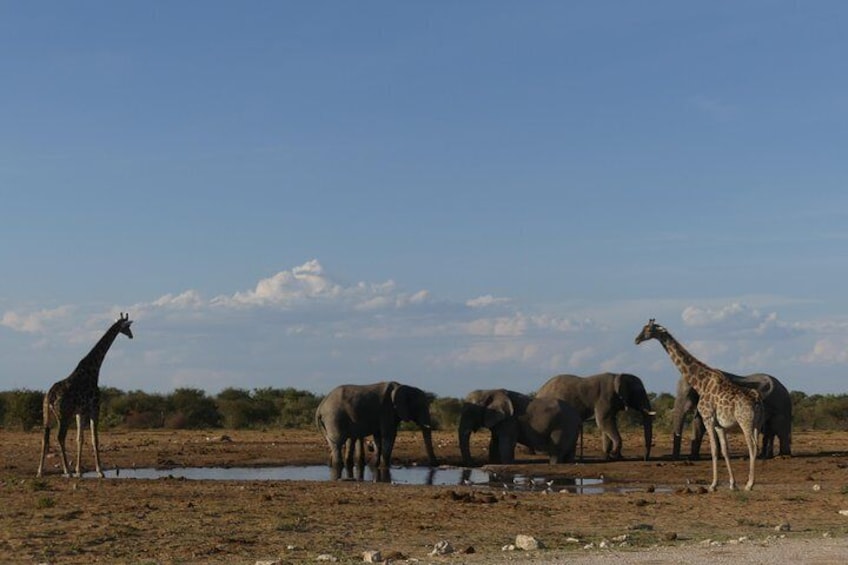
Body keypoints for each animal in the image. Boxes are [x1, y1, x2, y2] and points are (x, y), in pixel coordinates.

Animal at [37, 312, 134, 476]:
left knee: (45, 438)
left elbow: (79, 438)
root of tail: (50, 396)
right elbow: (95, 438)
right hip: (64, 415)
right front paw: (100, 471)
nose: (131, 336)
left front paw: (79, 470)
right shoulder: (95, 407)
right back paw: (66, 471)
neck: (94, 369)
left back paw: (40, 471)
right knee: (59, 437)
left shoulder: (80, 412)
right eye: (127, 327)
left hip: (46, 414)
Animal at [636, 318, 760, 490]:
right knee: (756, 447)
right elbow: (724, 450)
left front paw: (713, 485)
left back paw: (749, 484)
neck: (701, 383)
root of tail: (756, 400)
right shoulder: (719, 425)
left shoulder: (708, 418)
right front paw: (732, 484)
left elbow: (714, 450)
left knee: (752, 447)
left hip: (745, 422)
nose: (636, 339)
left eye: (648, 329)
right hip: (756, 424)